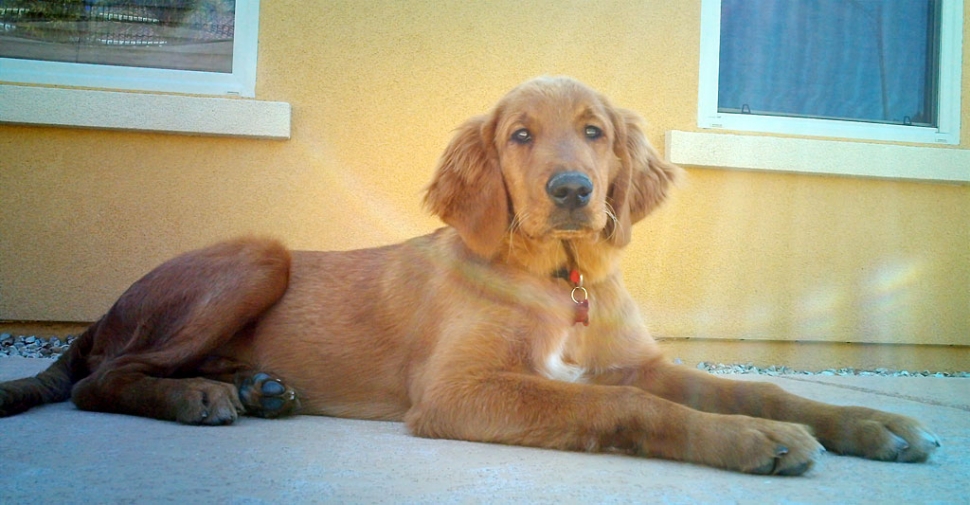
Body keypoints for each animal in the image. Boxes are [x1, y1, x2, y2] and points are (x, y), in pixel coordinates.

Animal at [0, 76, 936, 472]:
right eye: (520, 135)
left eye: (594, 132)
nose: (573, 190)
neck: (561, 281)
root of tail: (106, 312)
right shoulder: (460, 389)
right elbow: (629, 407)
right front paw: (754, 440)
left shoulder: (636, 360)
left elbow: (752, 385)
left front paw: (869, 423)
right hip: (257, 255)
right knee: (100, 380)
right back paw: (200, 396)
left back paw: (259, 388)